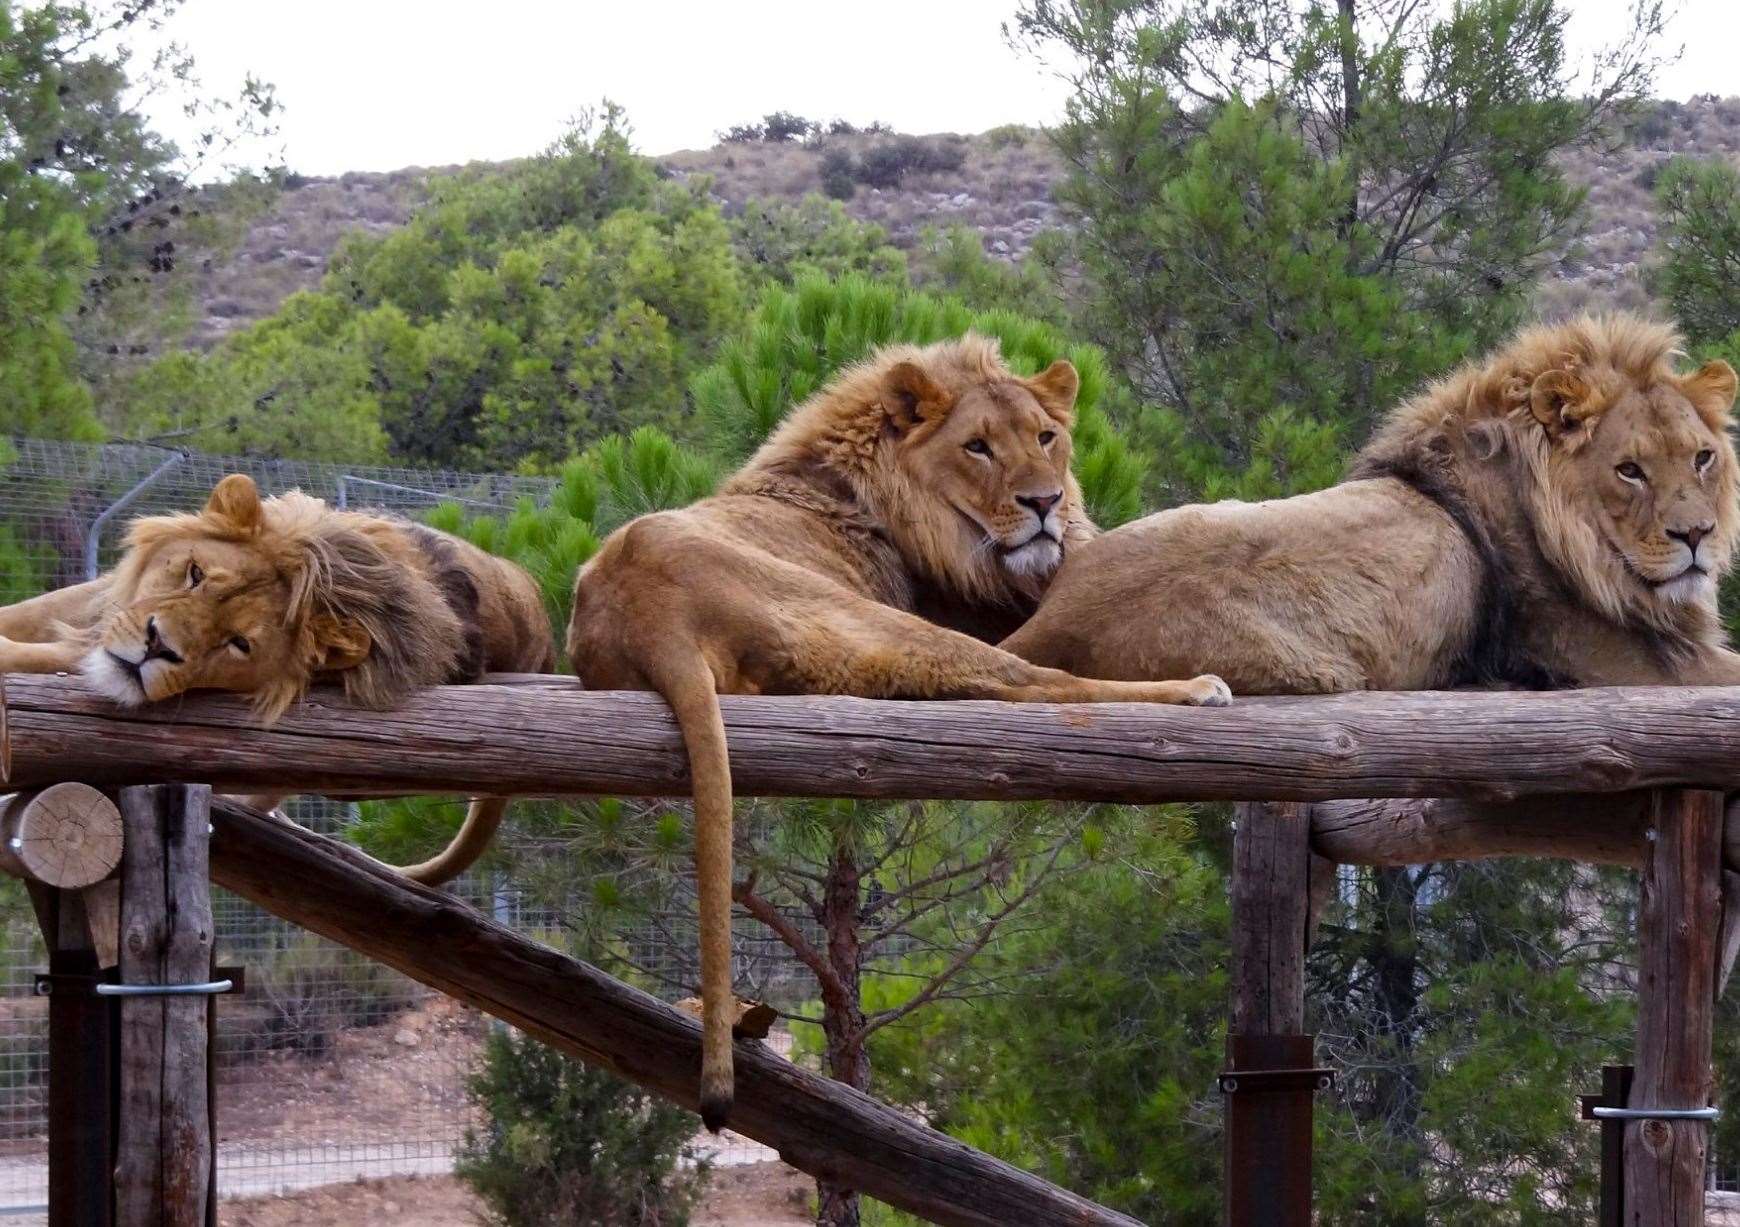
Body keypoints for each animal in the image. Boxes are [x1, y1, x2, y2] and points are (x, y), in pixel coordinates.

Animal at [0, 469, 553, 880]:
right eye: (195, 574)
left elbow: (44, 655)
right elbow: (29, 614)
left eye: (238, 644)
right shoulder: (96, 598)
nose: (156, 646)